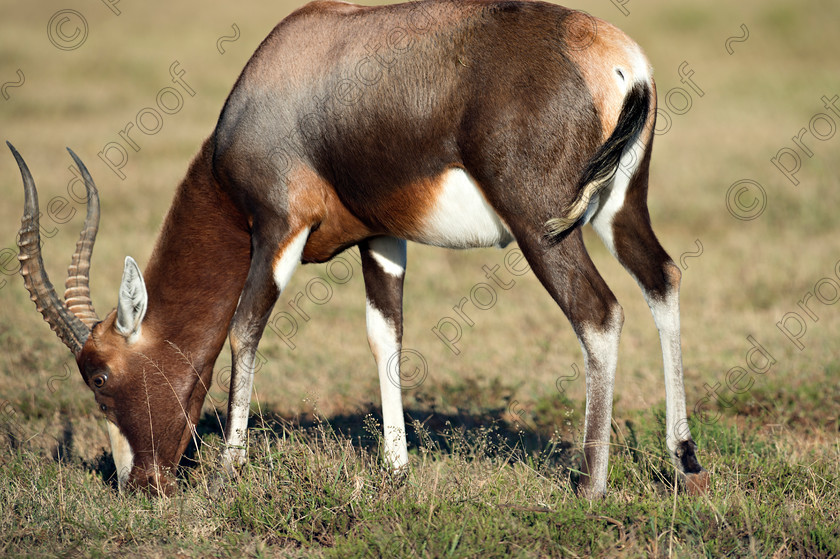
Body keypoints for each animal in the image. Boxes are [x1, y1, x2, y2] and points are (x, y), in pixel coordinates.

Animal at [13, 0, 708, 498]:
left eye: (100, 376)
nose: (139, 485)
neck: (288, 67)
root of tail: (619, 58)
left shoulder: (277, 227)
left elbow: (245, 328)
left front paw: (230, 472)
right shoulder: (381, 237)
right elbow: (386, 334)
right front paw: (397, 470)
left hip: (544, 229)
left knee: (598, 313)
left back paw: (590, 486)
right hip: (618, 210)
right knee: (662, 278)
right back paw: (685, 463)